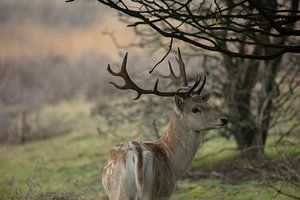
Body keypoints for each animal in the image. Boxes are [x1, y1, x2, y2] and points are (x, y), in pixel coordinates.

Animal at [101, 48, 227, 200]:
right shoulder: (166, 191)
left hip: (125, 192)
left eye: (207, 103)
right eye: (195, 109)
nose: (223, 119)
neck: (174, 164)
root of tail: (137, 155)